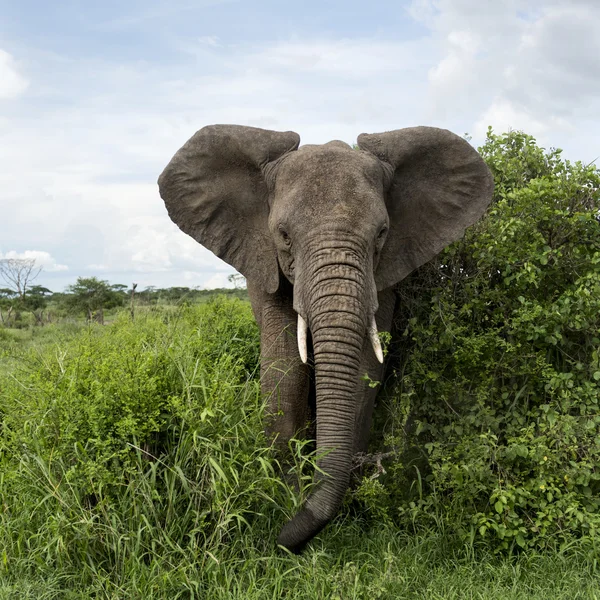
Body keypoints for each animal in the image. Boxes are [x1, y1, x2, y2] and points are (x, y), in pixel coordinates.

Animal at [158, 125, 492, 552]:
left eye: (382, 234)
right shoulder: (266, 266)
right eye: (283, 235)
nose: (282, 540)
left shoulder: (383, 276)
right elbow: (283, 368)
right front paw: (285, 492)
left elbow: (365, 370)